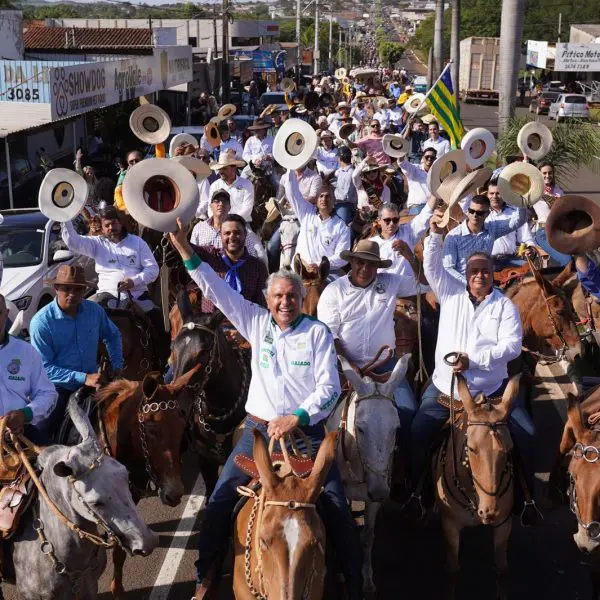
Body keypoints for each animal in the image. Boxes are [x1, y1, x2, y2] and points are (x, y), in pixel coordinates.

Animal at [326, 354, 410, 592]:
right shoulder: (343, 493)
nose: (381, 491)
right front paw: (341, 572)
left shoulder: (372, 500)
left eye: (396, 428)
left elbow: (368, 536)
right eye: (361, 428)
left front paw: (367, 578)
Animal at [436, 372, 520, 596]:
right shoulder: (450, 524)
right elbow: (452, 571)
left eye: (509, 448)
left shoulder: (503, 524)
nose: (490, 511)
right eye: (472, 449)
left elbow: (502, 570)